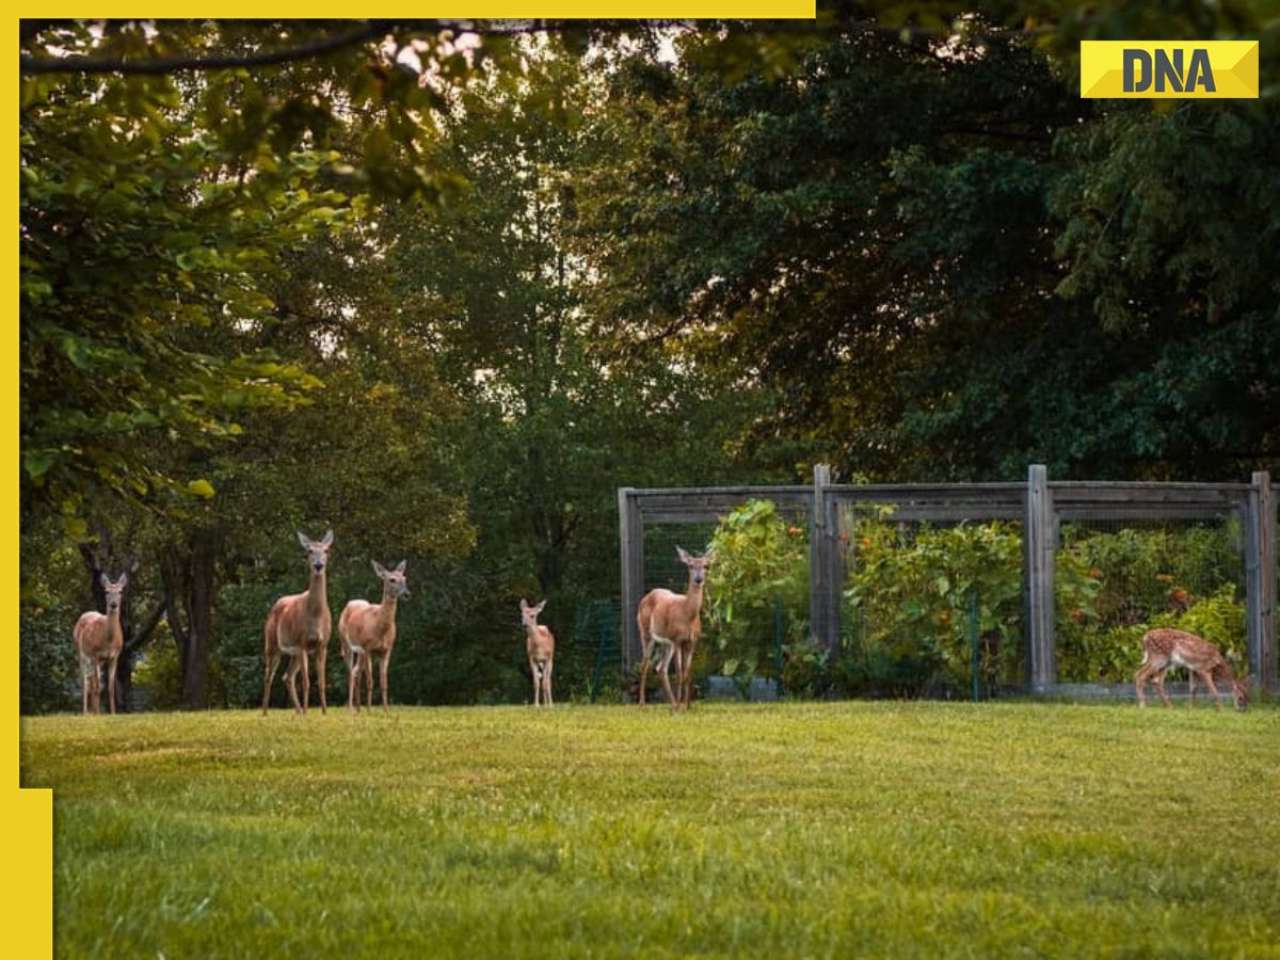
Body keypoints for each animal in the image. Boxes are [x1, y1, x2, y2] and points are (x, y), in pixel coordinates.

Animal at [73, 573, 128, 715]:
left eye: (120, 591)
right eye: (106, 591)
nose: (113, 604)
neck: (108, 641)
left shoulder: (114, 656)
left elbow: (110, 688)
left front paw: (113, 713)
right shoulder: (95, 653)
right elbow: (98, 686)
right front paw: (98, 713)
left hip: (97, 661)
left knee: (91, 681)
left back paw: (92, 711)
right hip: (81, 653)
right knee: (85, 681)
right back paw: (86, 712)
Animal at [261, 530, 333, 716]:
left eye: (326, 550)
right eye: (309, 551)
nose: (318, 565)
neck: (316, 616)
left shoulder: (323, 645)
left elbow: (321, 682)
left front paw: (324, 712)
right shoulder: (302, 642)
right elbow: (307, 682)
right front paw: (308, 712)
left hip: (293, 653)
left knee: (287, 676)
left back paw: (298, 711)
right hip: (272, 644)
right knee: (268, 675)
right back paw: (265, 712)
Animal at [338, 560, 409, 713]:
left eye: (405, 578)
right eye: (392, 579)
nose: (407, 594)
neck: (380, 627)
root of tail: (350, 603)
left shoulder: (387, 650)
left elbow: (384, 682)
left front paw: (386, 710)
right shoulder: (368, 648)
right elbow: (370, 680)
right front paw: (370, 710)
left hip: (359, 652)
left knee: (356, 672)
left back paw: (359, 708)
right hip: (346, 643)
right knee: (350, 673)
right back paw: (351, 708)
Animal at [636, 546, 713, 712]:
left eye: (706, 566)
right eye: (690, 566)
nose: (699, 579)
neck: (687, 613)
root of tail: (647, 596)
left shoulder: (692, 641)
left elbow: (688, 673)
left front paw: (687, 706)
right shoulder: (677, 639)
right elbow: (679, 673)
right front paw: (681, 706)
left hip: (666, 643)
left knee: (661, 668)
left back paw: (671, 703)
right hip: (646, 633)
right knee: (645, 665)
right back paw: (643, 704)